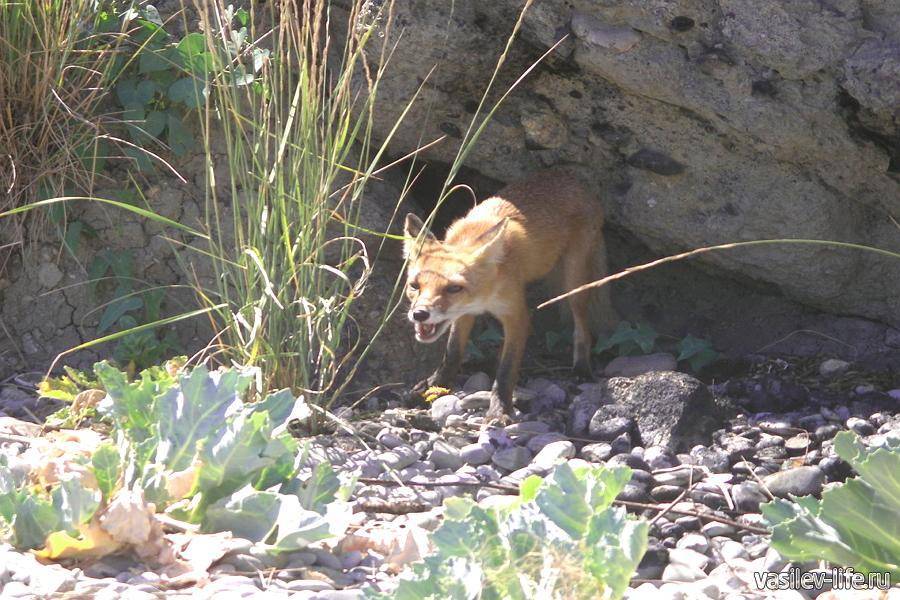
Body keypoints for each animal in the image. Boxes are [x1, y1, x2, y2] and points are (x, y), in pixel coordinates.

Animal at [403, 169, 615, 422]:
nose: (419, 314)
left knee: (582, 326)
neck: (486, 294)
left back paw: (582, 367)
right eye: (414, 285)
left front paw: (500, 409)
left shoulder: (517, 315)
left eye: (453, 288)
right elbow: (452, 352)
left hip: (574, 283)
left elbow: (506, 370)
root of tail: (575, 181)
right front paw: (436, 384)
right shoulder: (465, 314)